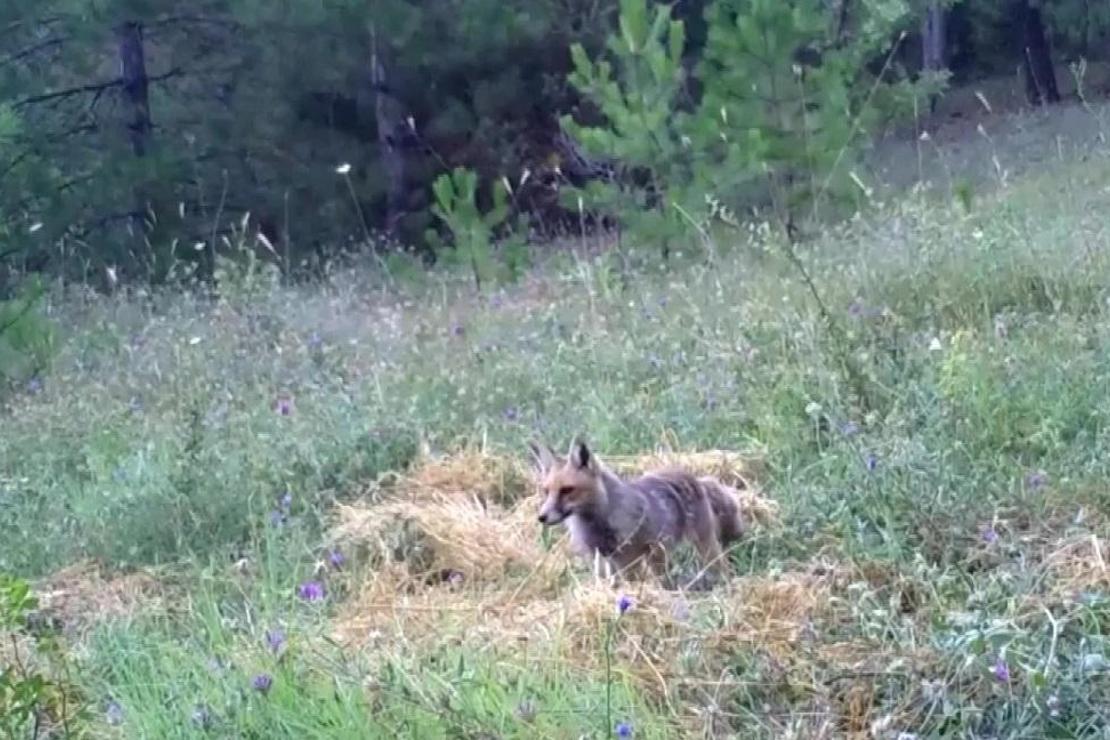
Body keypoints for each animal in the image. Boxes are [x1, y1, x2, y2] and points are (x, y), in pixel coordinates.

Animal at [528, 437, 745, 585]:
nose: (542, 517)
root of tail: (694, 478)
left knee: (722, 567)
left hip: (700, 549)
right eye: (546, 491)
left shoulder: (628, 560)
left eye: (567, 490)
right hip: (659, 557)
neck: (598, 524)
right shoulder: (600, 560)